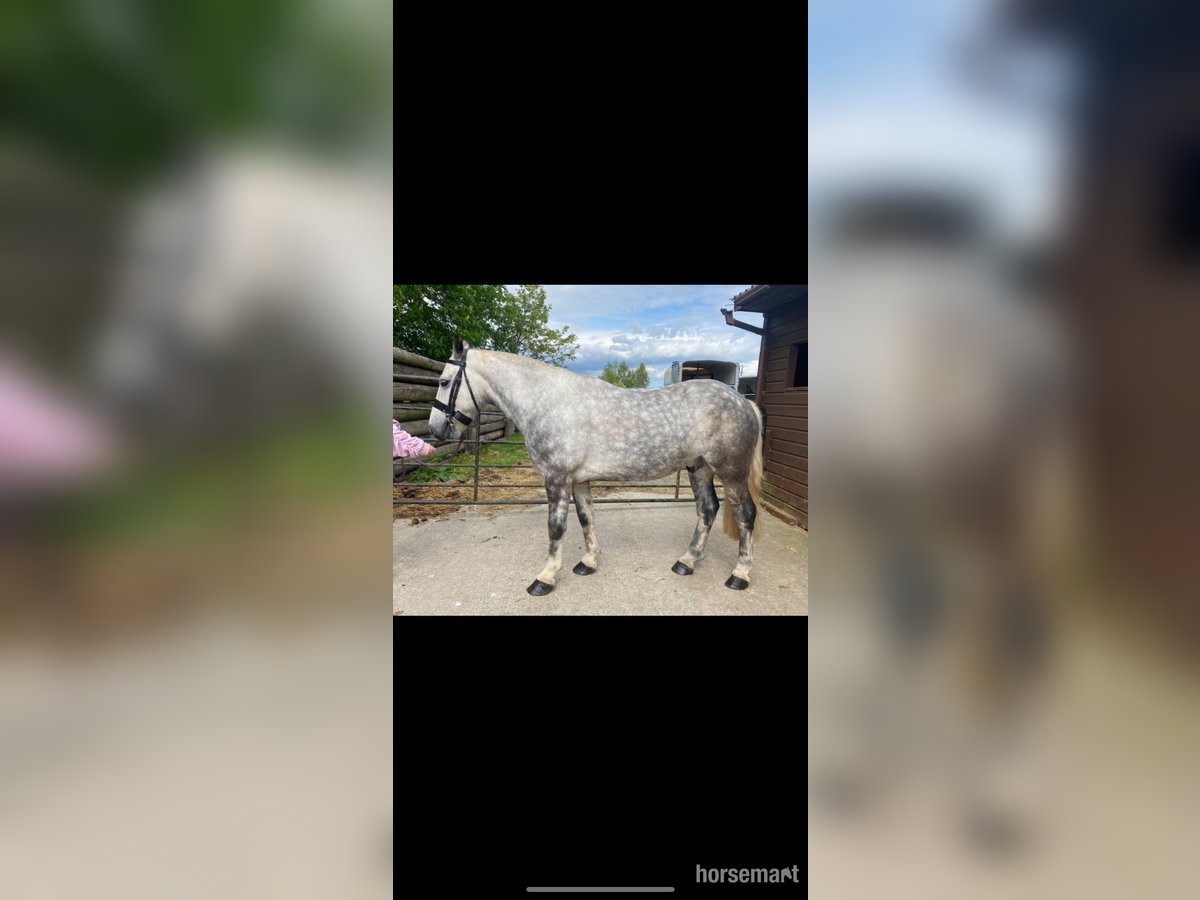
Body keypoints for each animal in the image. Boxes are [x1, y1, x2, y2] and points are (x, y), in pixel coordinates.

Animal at [428, 338, 765, 596]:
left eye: (444, 382)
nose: (435, 429)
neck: (547, 402)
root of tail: (744, 402)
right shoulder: (578, 481)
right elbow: (585, 518)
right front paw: (587, 563)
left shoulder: (557, 479)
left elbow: (556, 528)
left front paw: (546, 577)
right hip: (700, 468)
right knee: (707, 510)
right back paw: (688, 560)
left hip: (731, 472)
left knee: (745, 514)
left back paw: (740, 574)